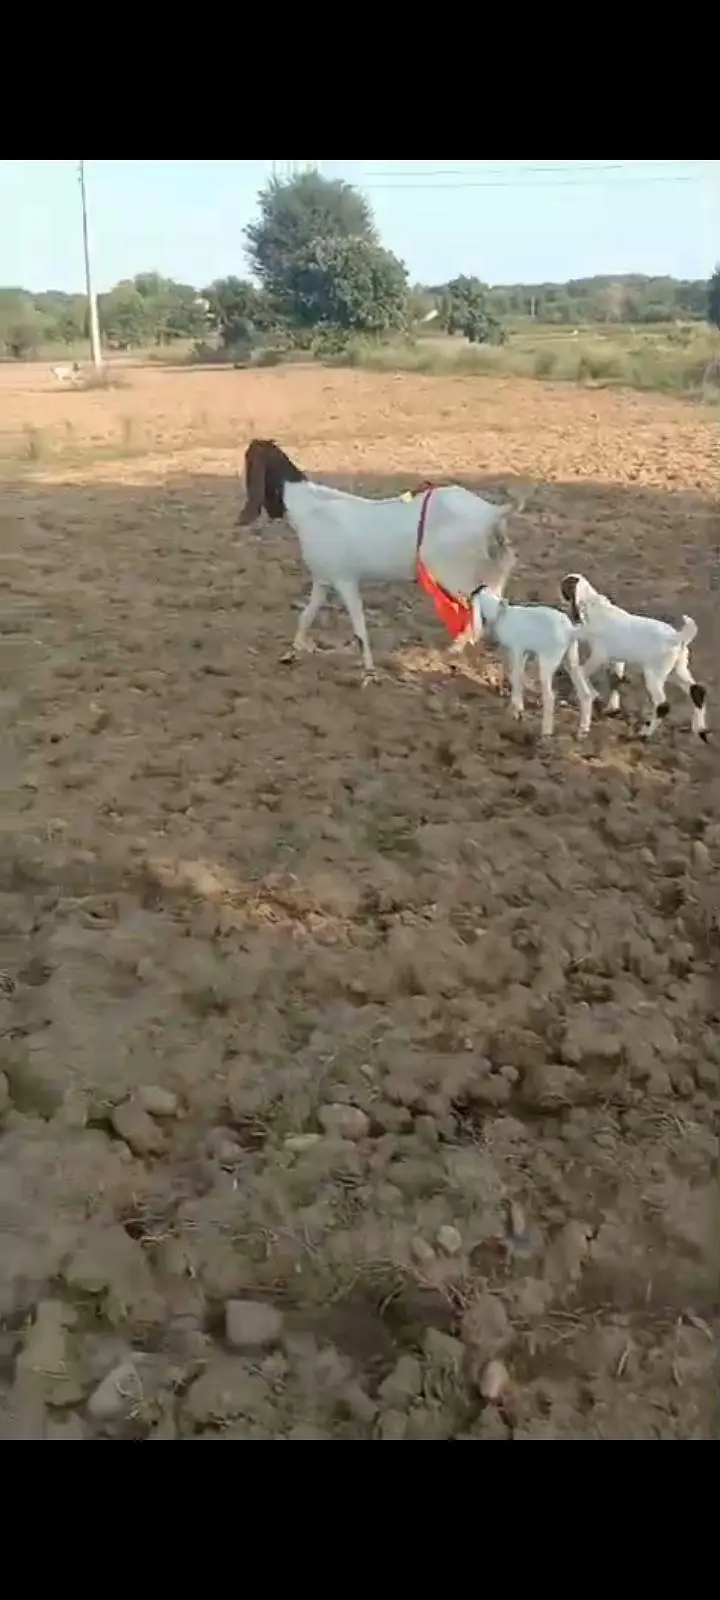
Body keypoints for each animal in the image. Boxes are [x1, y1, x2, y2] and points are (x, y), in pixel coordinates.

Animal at [237, 438, 521, 683]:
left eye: (249, 458)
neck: (310, 508)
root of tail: (492, 515)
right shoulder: (323, 579)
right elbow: (306, 617)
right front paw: (291, 653)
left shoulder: (345, 580)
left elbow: (360, 629)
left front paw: (369, 674)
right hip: (490, 578)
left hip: (455, 576)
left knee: (475, 624)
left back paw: (453, 654)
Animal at [471, 586, 593, 739]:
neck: (501, 613)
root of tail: (569, 630)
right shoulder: (523, 652)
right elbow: (515, 676)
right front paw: (514, 703)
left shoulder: (517, 649)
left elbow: (516, 677)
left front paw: (517, 710)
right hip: (571, 659)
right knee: (585, 693)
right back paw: (583, 729)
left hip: (547, 660)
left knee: (550, 697)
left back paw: (546, 732)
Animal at [560, 573, 708, 742]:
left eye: (565, 587)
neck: (595, 606)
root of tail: (677, 638)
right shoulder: (617, 658)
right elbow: (615, 680)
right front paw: (612, 708)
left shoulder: (599, 654)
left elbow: (581, 672)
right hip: (677, 668)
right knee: (696, 690)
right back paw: (700, 730)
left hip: (655, 673)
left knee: (663, 704)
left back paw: (645, 733)